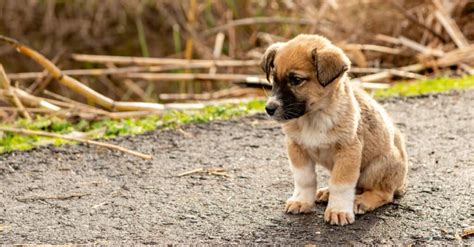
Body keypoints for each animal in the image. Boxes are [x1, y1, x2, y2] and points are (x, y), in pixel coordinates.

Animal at [260, 34, 408, 226]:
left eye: (296, 80)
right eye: (274, 79)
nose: (269, 109)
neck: (314, 117)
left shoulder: (348, 151)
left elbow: (341, 183)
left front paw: (338, 211)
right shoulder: (296, 148)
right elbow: (304, 179)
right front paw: (301, 201)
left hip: (378, 166)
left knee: (383, 193)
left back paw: (362, 201)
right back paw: (327, 192)